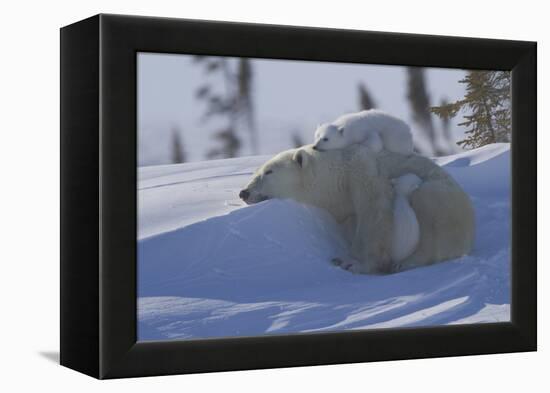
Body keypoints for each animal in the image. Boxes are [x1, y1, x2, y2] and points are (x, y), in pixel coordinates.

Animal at [239, 143, 476, 272]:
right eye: (258, 171)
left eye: (269, 172)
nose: (244, 192)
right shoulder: (342, 206)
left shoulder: (361, 169)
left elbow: (374, 213)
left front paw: (352, 262)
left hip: (442, 199)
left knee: (432, 221)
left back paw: (407, 263)